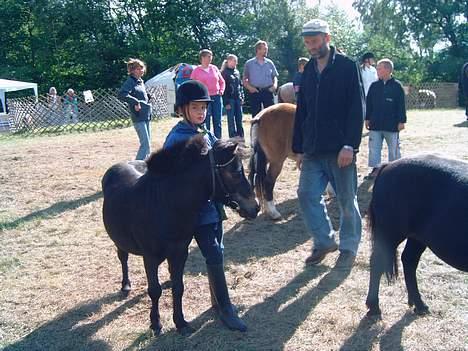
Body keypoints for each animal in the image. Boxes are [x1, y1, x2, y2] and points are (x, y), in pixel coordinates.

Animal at [101, 135, 260, 336]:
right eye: (235, 172)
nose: (255, 207)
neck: (166, 204)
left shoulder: (180, 252)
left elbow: (178, 287)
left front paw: (181, 322)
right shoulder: (149, 257)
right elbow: (154, 290)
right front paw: (156, 323)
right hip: (119, 240)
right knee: (123, 257)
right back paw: (126, 285)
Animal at [366, 155, 468, 318]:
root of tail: (388, 165)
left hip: (417, 237)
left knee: (409, 260)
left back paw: (419, 304)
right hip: (391, 232)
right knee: (378, 262)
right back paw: (374, 307)